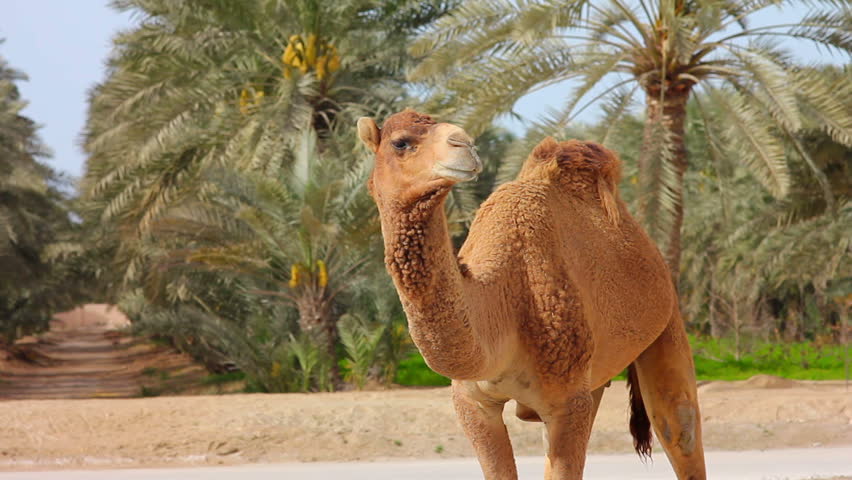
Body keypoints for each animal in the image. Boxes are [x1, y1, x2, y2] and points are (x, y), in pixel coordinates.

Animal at [357, 109, 706, 480]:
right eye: (401, 142)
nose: (464, 144)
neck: (503, 305)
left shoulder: (567, 400)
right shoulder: (472, 402)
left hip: (667, 319)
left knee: (679, 426)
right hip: (594, 376)